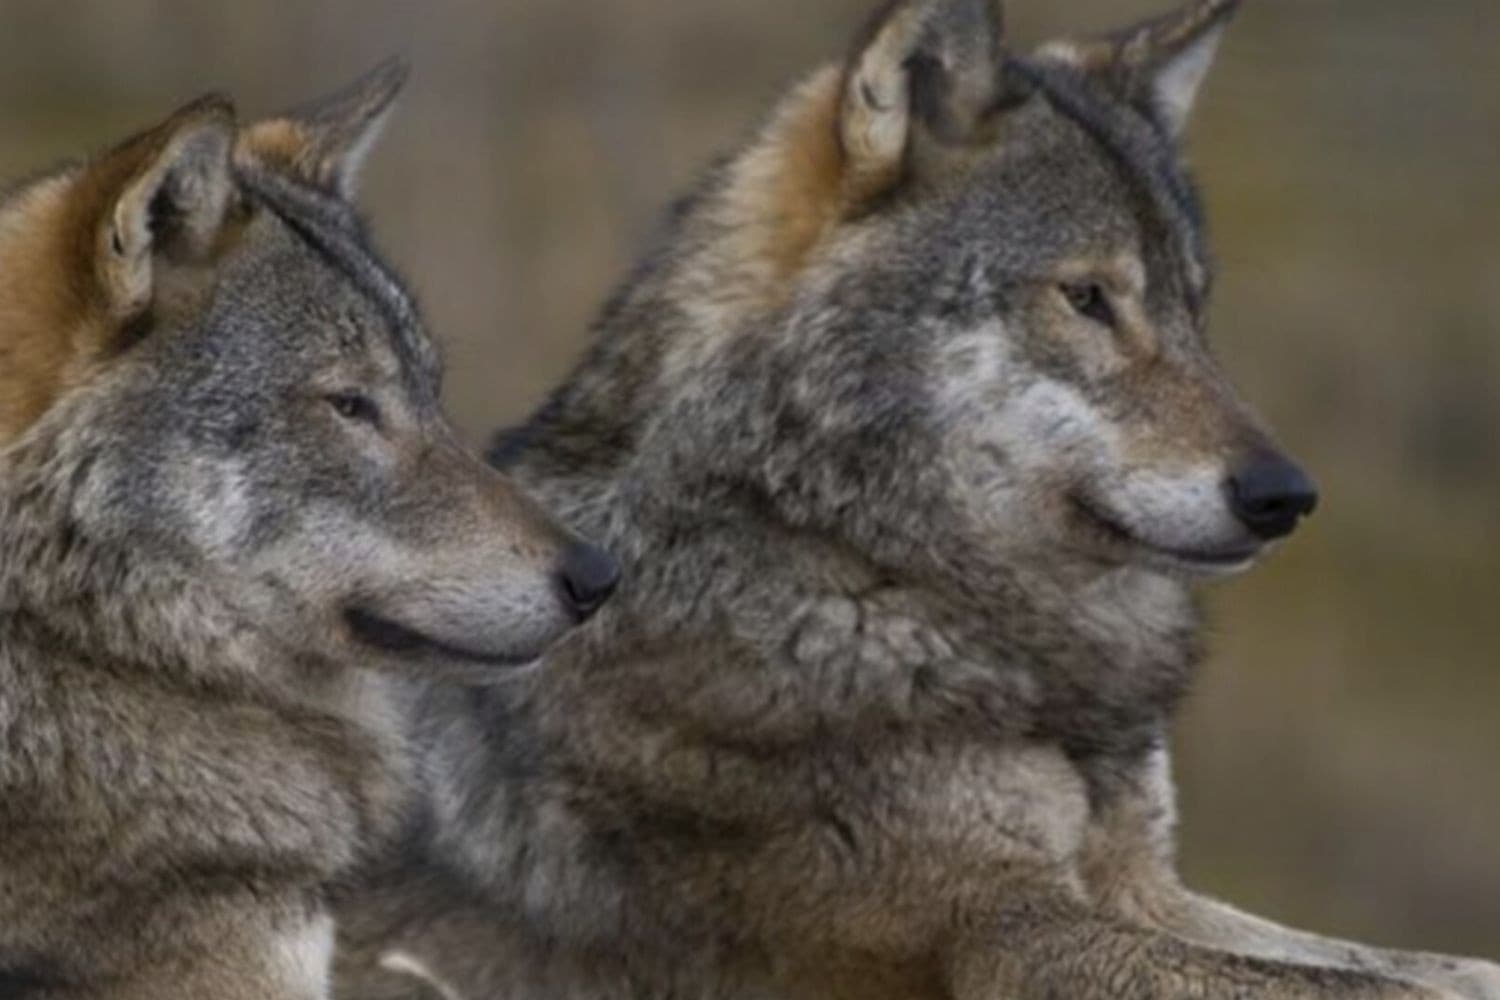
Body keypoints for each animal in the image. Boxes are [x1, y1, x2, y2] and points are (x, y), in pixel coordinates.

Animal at [334, 2, 1500, 998]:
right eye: (1088, 296)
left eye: (1192, 306)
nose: (1286, 495)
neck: (851, 559)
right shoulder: (1004, 930)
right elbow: (1365, 983)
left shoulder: (1144, 885)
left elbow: (1436, 966)